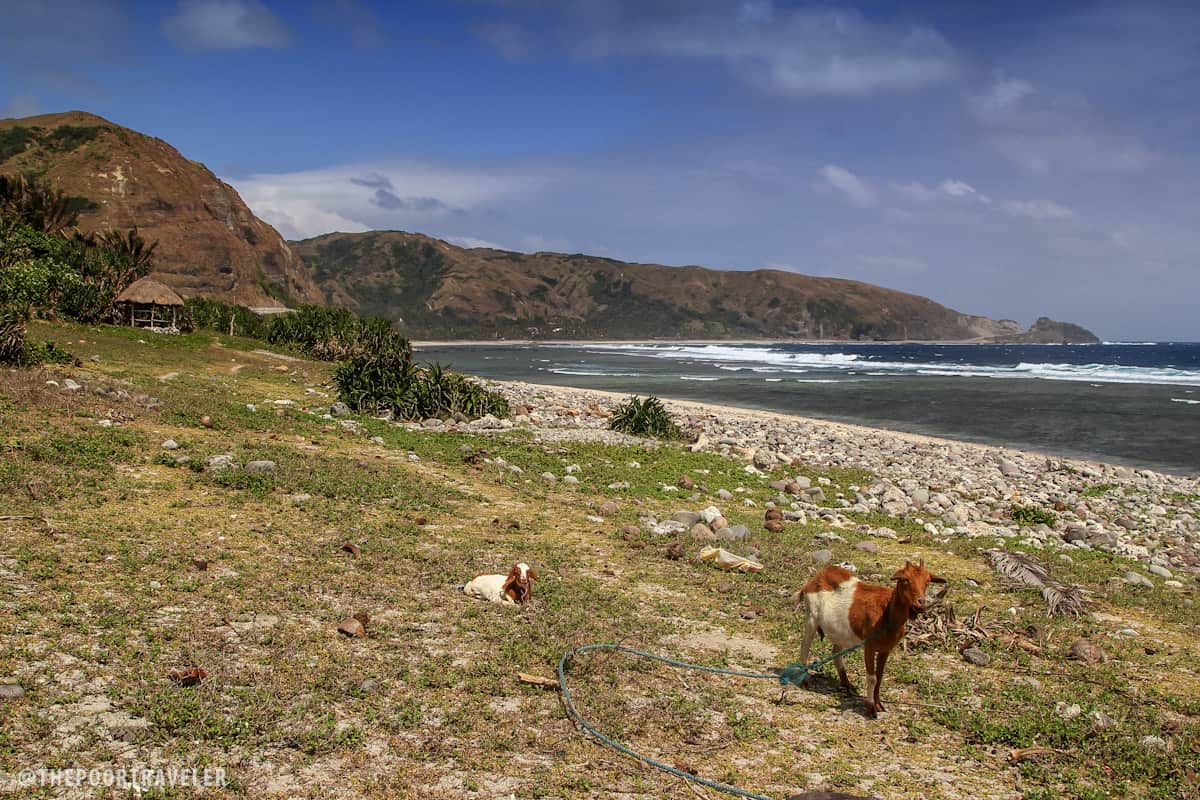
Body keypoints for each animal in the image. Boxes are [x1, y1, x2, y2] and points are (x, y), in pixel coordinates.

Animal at [796, 561, 945, 714]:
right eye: (905, 580)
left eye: (927, 582)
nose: (920, 603)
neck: (886, 613)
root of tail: (813, 580)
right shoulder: (869, 646)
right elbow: (872, 678)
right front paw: (870, 707)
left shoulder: (885, 649)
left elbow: (879, 677)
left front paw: (879, 704)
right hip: (811, 617)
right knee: (805, 646)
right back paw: (804, 680)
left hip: (840, 631)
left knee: (836, 652)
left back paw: (847, 684)